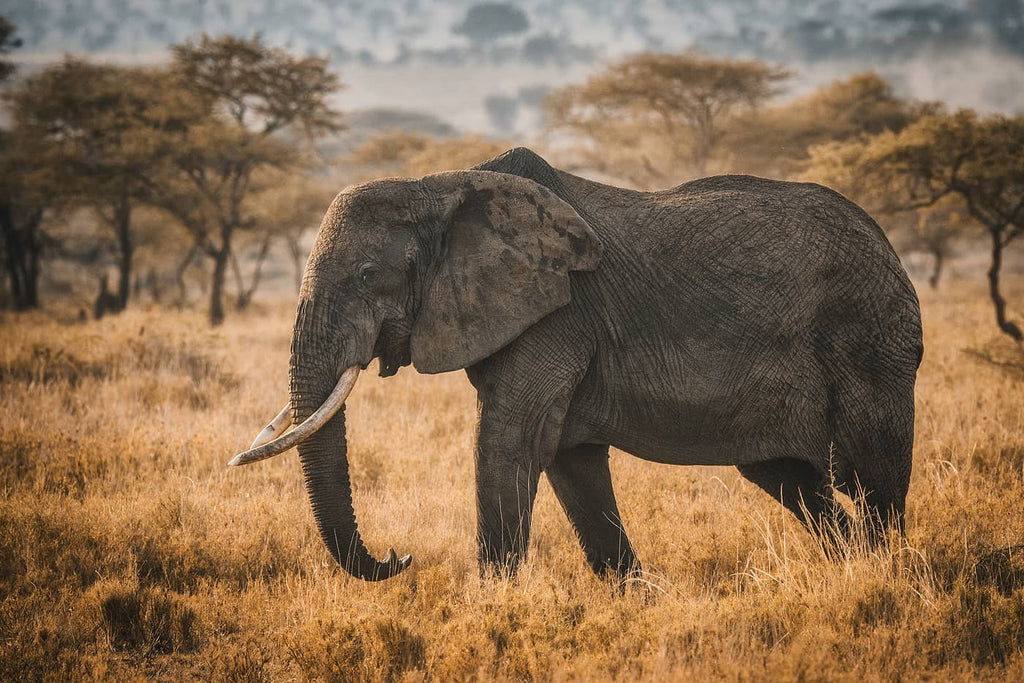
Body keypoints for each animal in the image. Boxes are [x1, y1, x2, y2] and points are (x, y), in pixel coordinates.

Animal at [232, 148, 929, 581]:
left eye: (368, 275)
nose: (399, 558)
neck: (439, 185)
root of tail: (890, 247)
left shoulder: (559, 313)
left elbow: (510, 444)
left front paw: (493, 610)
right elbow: (570, 459)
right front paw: (636, 602)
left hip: (871, 336)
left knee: (873, 474)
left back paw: (886, 580)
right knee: (794, 480)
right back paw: (854, 570)